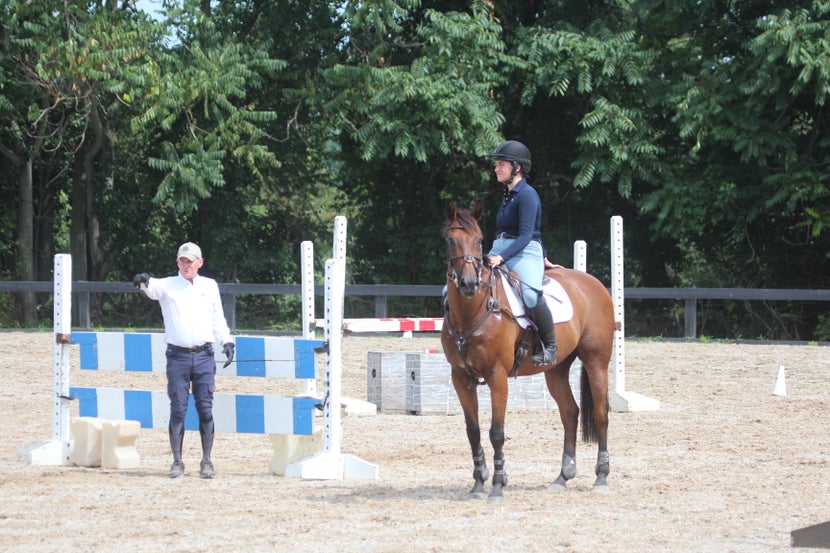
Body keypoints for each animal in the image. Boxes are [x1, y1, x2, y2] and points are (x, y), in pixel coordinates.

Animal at [442, 202, 616, 500]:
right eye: (450, 240)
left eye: (479, 241)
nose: (469, 284)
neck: (473, 310)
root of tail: (593, 283)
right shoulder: (460, 378)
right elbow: (473, 431)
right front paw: (478, 483)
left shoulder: (497, 376)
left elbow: (496, 432)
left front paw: (498, 485)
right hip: (556, 370)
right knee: (570, 413)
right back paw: (563, 476)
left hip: (596, 362)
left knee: (600, 413)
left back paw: (602, 476)